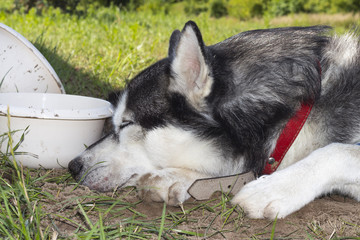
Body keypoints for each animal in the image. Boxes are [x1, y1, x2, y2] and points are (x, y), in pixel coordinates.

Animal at [68, 21, 360, 218]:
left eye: (126, 124)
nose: (73, 166)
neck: (296, 114)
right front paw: (175, 177)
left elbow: (336, 150)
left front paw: (272, 189)